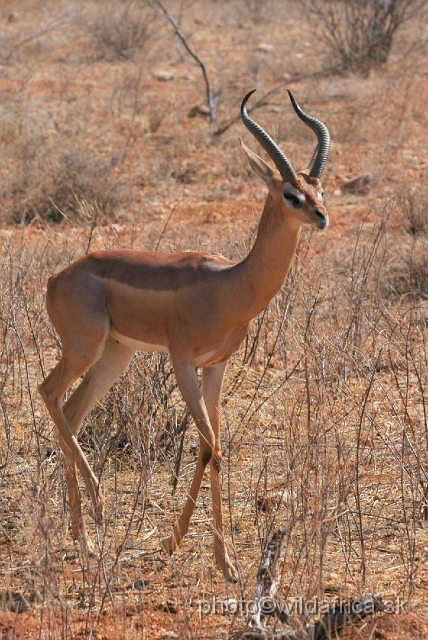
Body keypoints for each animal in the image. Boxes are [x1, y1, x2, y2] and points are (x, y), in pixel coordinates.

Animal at [37, 90, 332, 584]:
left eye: (319, 190)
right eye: (291, 194)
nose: (322, 217)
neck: (229, 287)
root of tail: (58, 278)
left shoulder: (216, 367)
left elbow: (213, 448)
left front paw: (219, 561)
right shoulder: (182, 363)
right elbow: (209, 445)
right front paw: (188, 548)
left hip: (113, 358)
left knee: (71, 413)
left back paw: (85, 544)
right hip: (83, 349)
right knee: (48, 393)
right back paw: (98, 510)